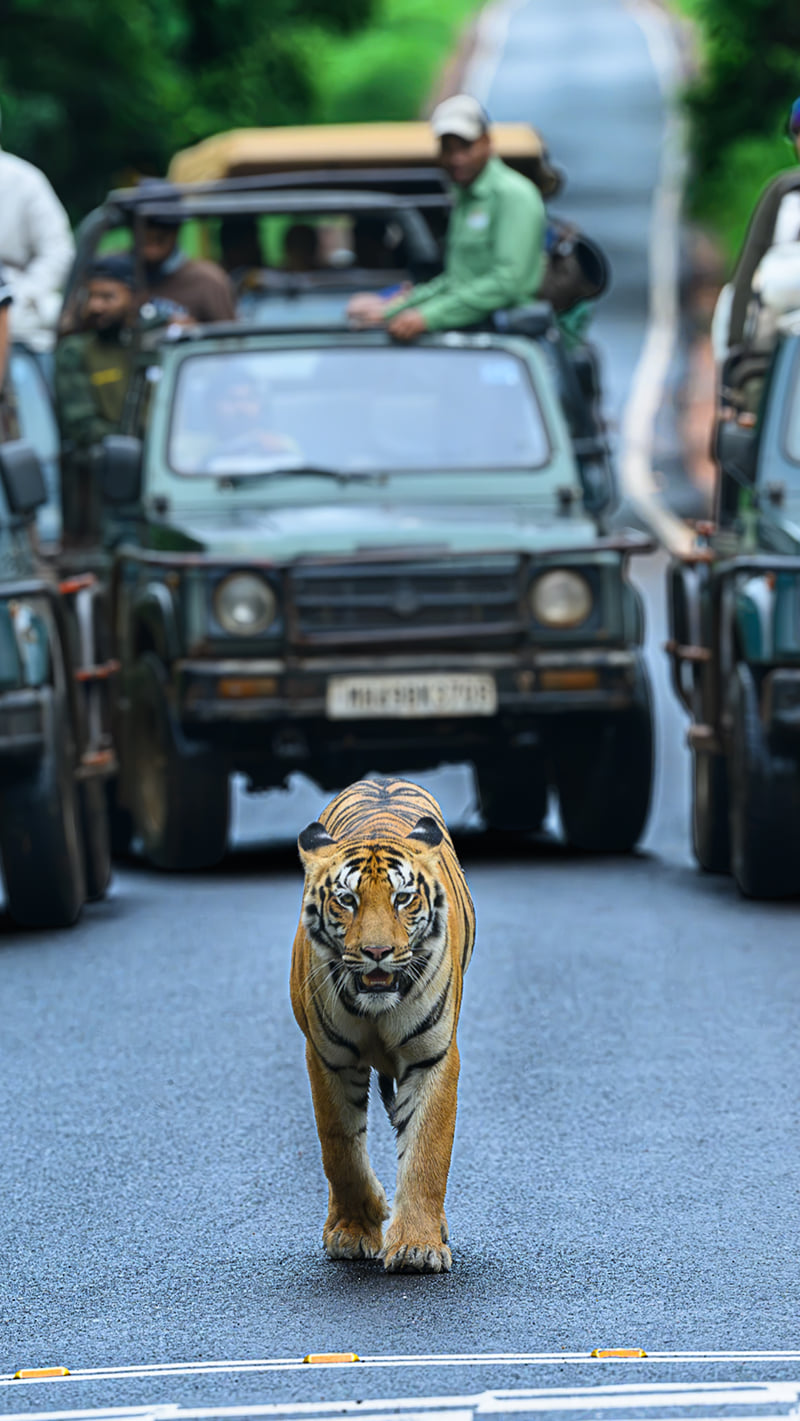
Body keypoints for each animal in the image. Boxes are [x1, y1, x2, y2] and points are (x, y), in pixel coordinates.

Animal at [290, 777, 475, 1273]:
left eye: (402, 898)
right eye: (347, 900)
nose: (376, 952)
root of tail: (381, 779)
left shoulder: (432, 1056)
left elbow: (427, 1150)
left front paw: (417, 1247)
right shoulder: (328, 1058)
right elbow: (339, 1148)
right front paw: (357, 1227)